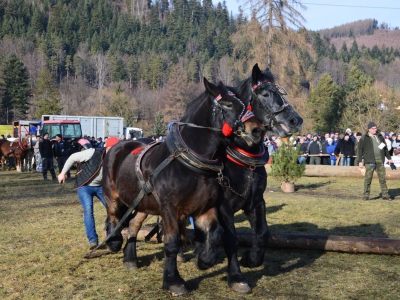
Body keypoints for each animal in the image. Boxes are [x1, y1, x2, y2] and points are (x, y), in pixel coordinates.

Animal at [103, 79, 266, 296]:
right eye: (228, 104)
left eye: (246, 104)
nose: (257, 130)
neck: (189, 164)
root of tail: (117, 146)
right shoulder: (169, 208)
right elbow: (171, 243)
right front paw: (173, 281)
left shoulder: (205, 208)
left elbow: (216, 235)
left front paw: (204, 260)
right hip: (113, 195)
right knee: (114, 216)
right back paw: (113, 241)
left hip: (144, 204)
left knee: (133, 225)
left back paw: (130, 259)